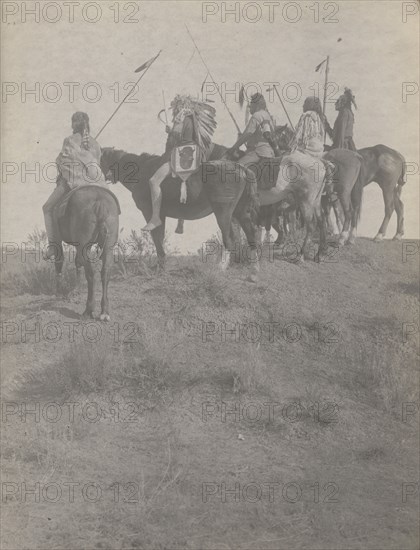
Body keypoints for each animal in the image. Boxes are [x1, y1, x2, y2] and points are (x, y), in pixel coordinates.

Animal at [54, 188, 120, 322]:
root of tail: (100, 202)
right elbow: (77, 262)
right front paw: (76, 289)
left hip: (83, 245)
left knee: (90, 273)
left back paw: (88, 310)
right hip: (108, 245)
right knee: (105, 271)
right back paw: (104, 312)